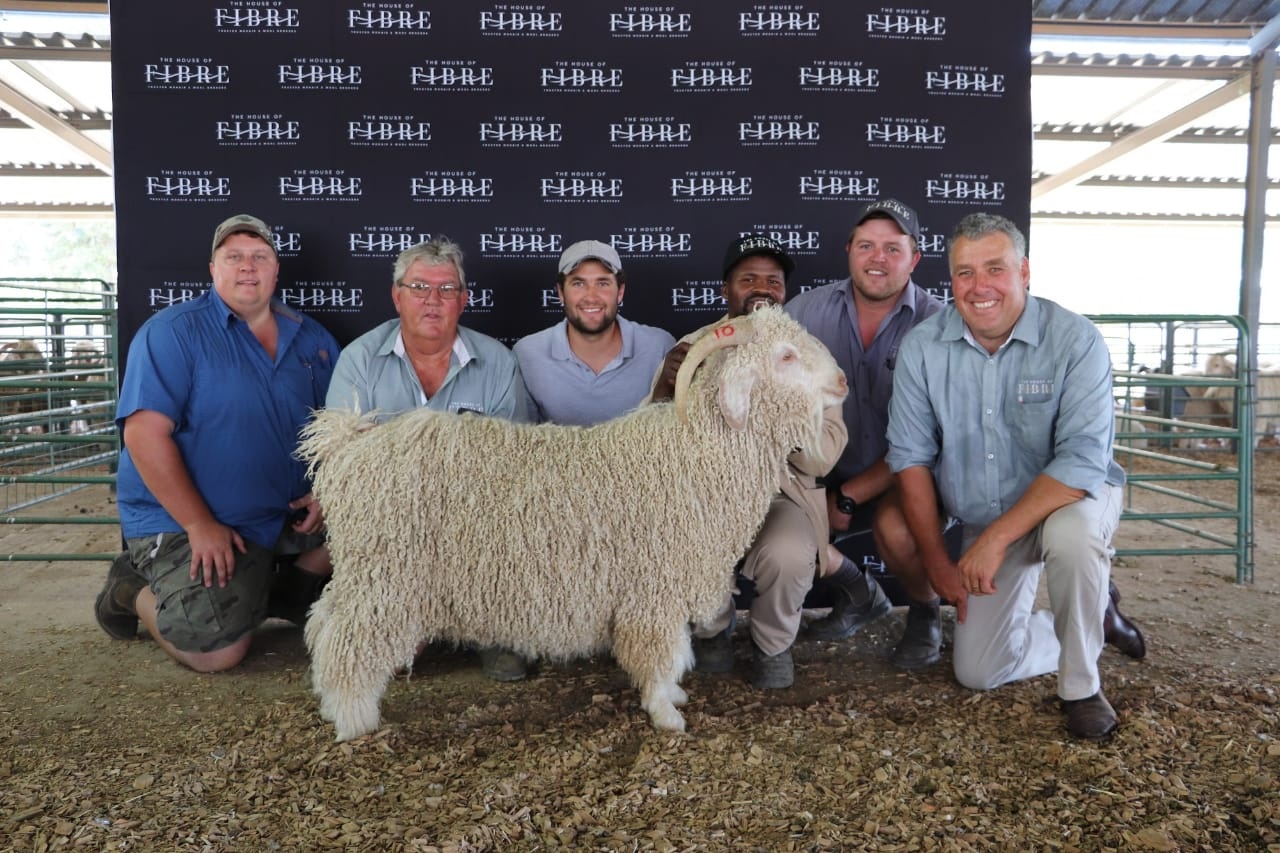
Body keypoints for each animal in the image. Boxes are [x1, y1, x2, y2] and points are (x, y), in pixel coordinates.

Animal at [299, 307, 849, 737]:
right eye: (785, 356)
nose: (842, 382)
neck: (692, 452)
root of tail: (347, 445)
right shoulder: (653, 591)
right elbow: (661, 653)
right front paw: (666, 713)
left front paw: (673, 698)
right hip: (384, 579)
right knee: (346, 639)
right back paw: (352, 720)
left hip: (368, 574)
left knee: (323, 620)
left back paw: (331, 706)